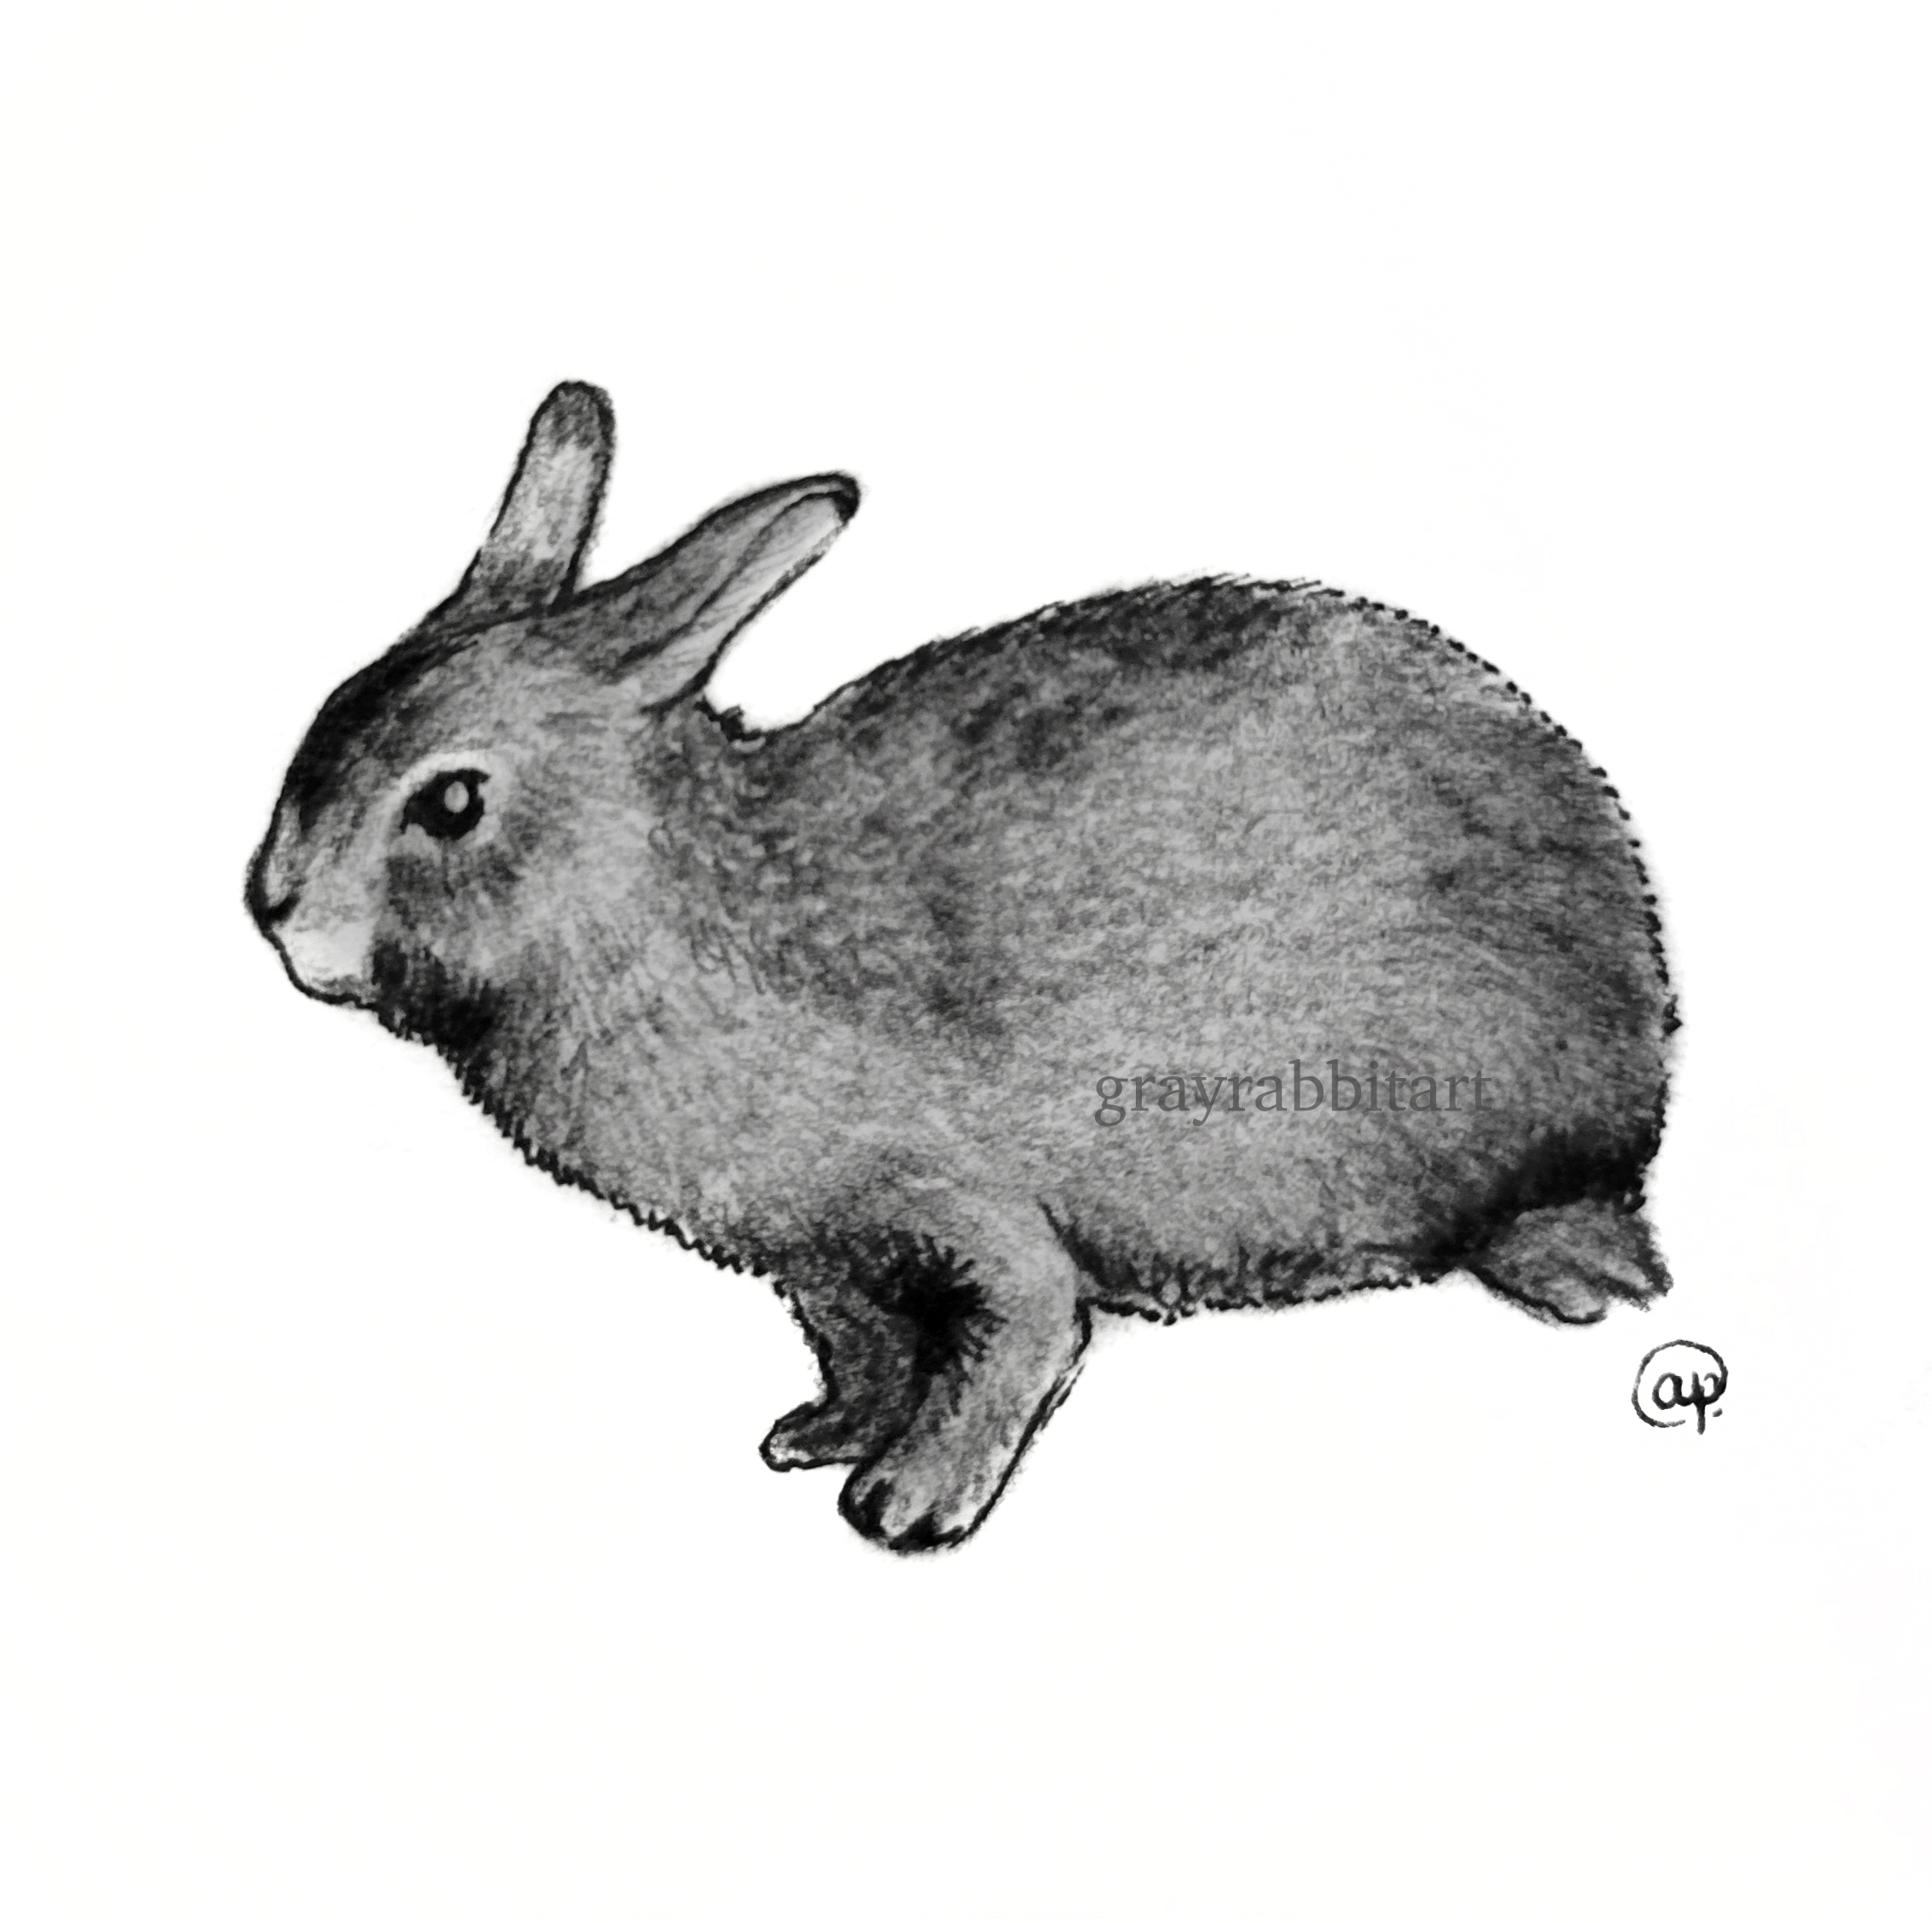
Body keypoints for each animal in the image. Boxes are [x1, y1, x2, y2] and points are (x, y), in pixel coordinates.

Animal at [248, 381, 1675, 1551]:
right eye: (333, 710)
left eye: (451, 803)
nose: (271, 906)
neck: (662, 904)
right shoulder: (822, 1254)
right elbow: (863, 1347)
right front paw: (816, 1437)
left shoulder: (962, 1202)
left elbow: (1024, 1331)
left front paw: (905, 1503)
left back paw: (1580, 1274)